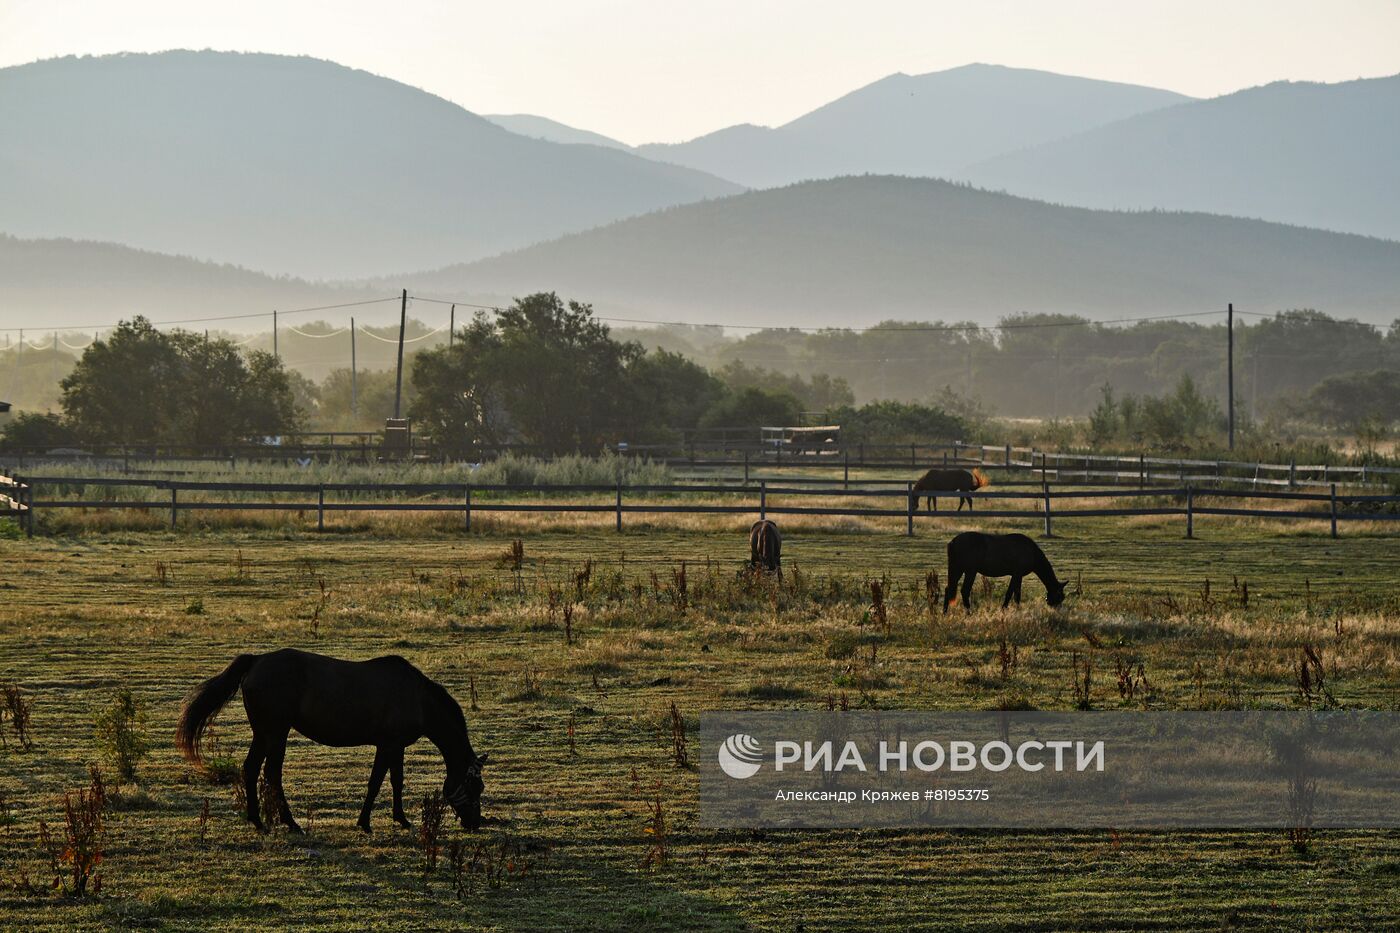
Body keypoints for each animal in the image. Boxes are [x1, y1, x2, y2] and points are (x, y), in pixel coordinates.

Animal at [177, 647, 490, 834]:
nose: (475, 824)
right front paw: (365, 823)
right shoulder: (388, 745)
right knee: (272, 774)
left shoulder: (395, 746)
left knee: (251, 769)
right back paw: (291, 823)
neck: (419, 698)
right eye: (475, 786)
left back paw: (257, 821)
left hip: (263, 733)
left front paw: (400, 819)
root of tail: (256, 660)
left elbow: (395, 781)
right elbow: (376, 782)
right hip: (276, 733)